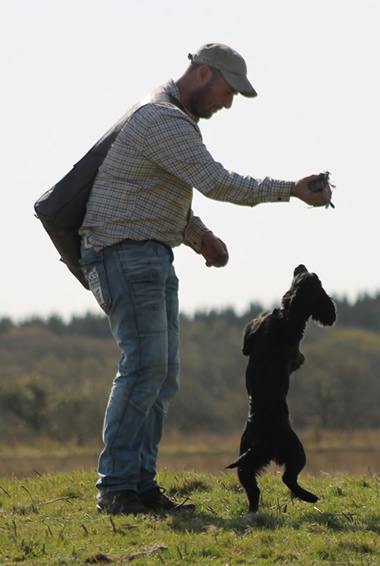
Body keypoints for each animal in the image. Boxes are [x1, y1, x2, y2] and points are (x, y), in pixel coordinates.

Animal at [226, 266, 336, 516]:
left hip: (246, 464)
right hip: (297, 451)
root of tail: (263, 441)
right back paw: (311, 497)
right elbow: (299, 358)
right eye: (316, 279)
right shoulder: (296, 355)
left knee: (254, 491)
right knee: (289, 478)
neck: (287, 316)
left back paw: (252, 513)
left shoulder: (249, 339)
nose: (301, 265)